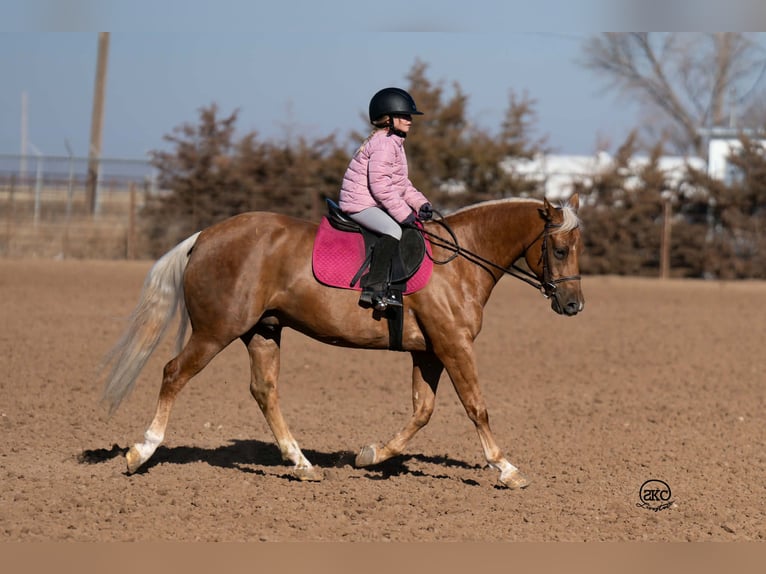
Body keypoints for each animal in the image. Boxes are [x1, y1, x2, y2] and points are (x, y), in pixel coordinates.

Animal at [101, 193, 584, 489]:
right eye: (559, 251)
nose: (574, 305)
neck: (459, 261)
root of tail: (203, 237)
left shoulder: (429, 351)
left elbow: (422, 411)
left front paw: (371, 455)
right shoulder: (453, 345)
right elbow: (476, 406)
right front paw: (506, 468)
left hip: (263, 331)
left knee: (264, 390)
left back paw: (301, 463)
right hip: (217, 330)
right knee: (174, 374)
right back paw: (140, 453)